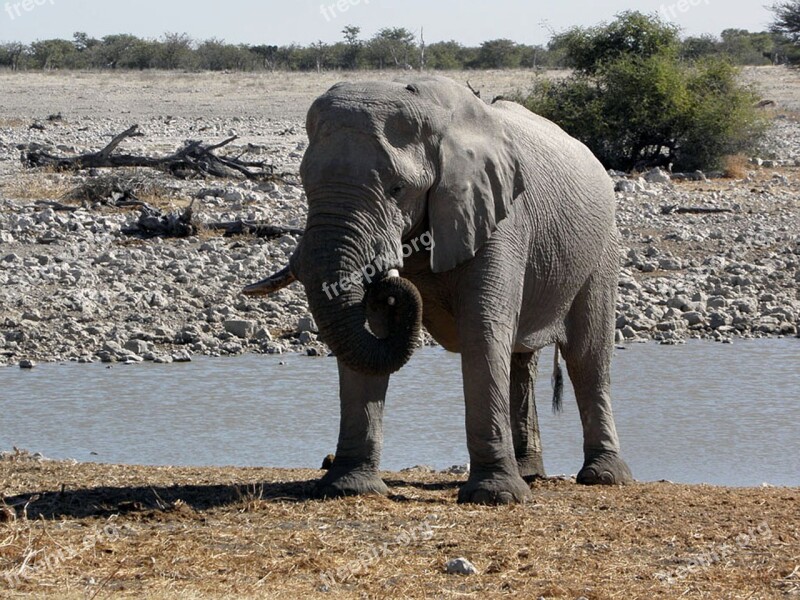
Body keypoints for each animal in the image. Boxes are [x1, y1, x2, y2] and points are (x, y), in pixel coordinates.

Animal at [247, 76, 636, 506]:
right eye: (304, 183)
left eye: (398, 188)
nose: (387, 287)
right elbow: (370, 334)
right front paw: (348, 487)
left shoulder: (497, 216)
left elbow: (483, 330)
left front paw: (495, 497)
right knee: (522, 359)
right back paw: (530, 473)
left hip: (603, 249)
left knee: (586, 356)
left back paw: (603, 477)